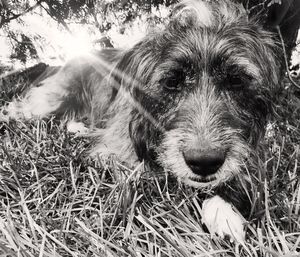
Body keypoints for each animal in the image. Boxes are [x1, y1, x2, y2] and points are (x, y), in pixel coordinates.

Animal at [1, 0, 282, 241]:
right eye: (172, 82)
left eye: (236, 80)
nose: (204, 162)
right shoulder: (114, 154)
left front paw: (224, 205)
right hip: (51, 99)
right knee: (17, 109)